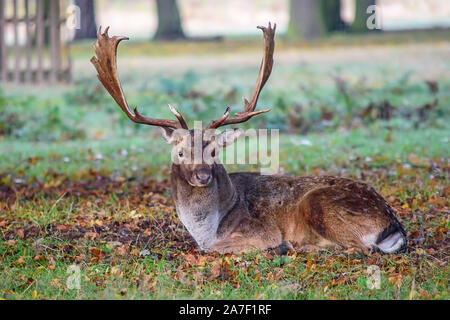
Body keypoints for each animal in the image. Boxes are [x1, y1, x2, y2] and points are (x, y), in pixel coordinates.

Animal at [90, 23, 408, 255]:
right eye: (180, 153)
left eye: (214, 152)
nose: (203, 175)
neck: (206, 229)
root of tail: (393, 223)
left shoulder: (259, 230)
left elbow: (214, 249)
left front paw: (277, 246)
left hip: (319, 204)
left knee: (361, 248)